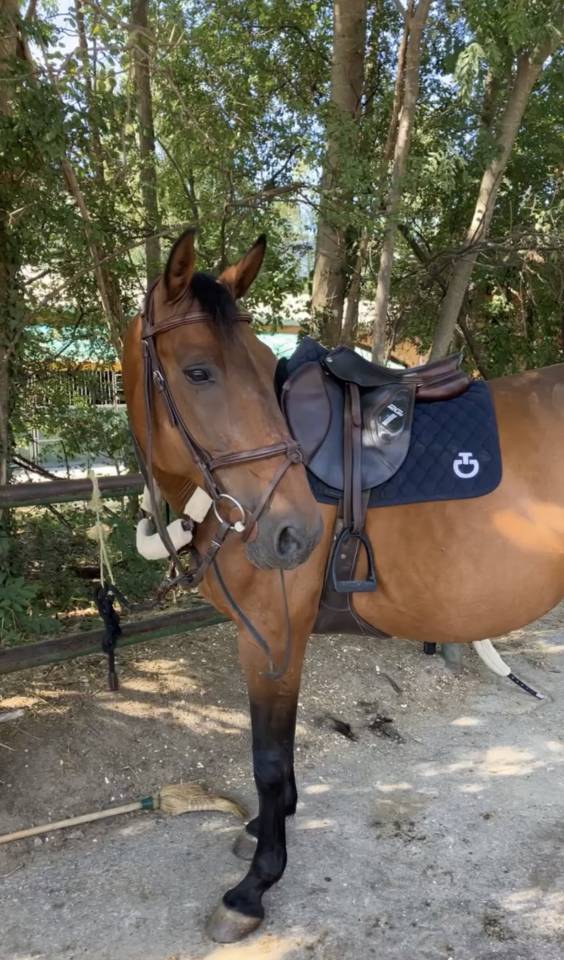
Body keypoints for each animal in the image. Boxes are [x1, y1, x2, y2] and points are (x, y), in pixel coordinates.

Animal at [123, 227, 564, 943]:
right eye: (199, 371)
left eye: (256, 364)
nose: (292, 533)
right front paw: (265, 830)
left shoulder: (270, 637)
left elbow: (269, 761)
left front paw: (254, 886)